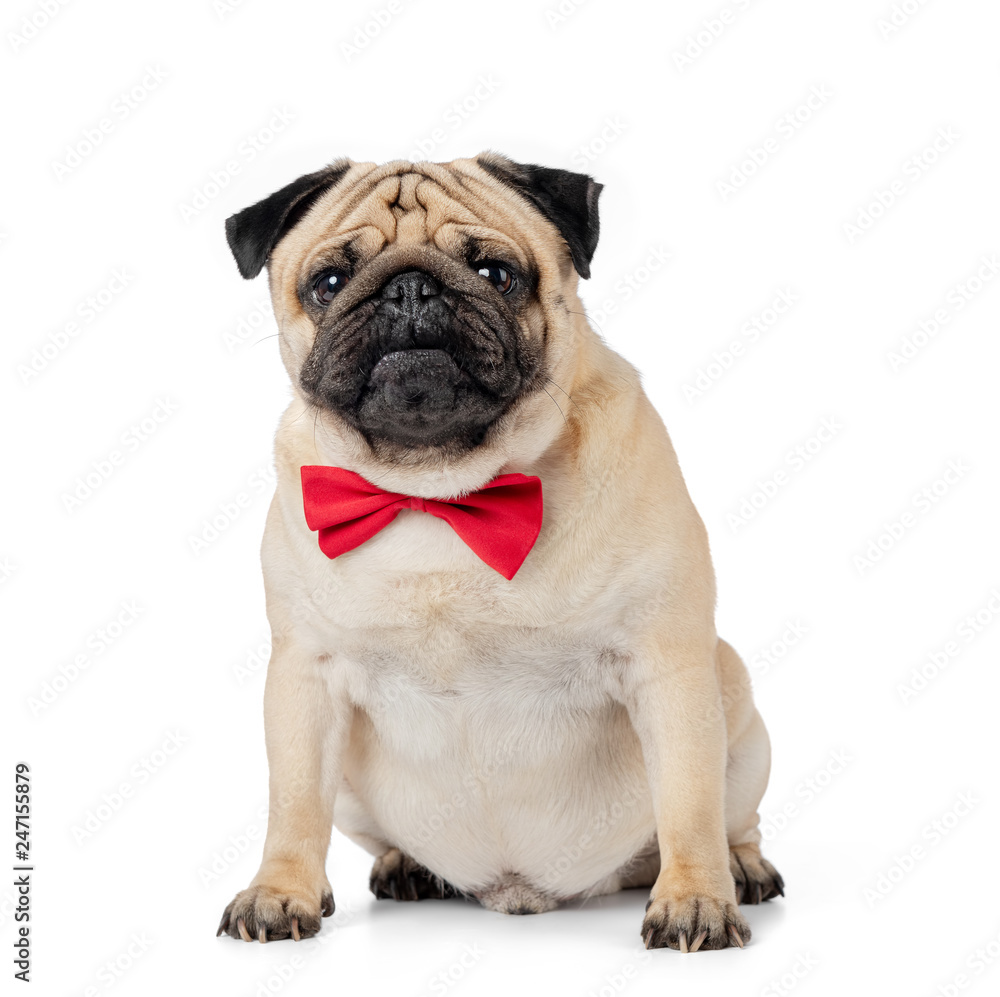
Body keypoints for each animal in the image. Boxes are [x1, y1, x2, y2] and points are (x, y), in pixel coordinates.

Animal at [217, 154, 780, 948]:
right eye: (328, 282)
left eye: (496, 273)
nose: (409, 287)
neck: (439, 494)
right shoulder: (305, 680)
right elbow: (294, 804)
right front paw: (279, 892)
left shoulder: (667, 667)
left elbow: (689, 803)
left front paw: (696, 898)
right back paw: (409, 866)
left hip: (737, 711)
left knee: (728, 816)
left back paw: (741, 868)